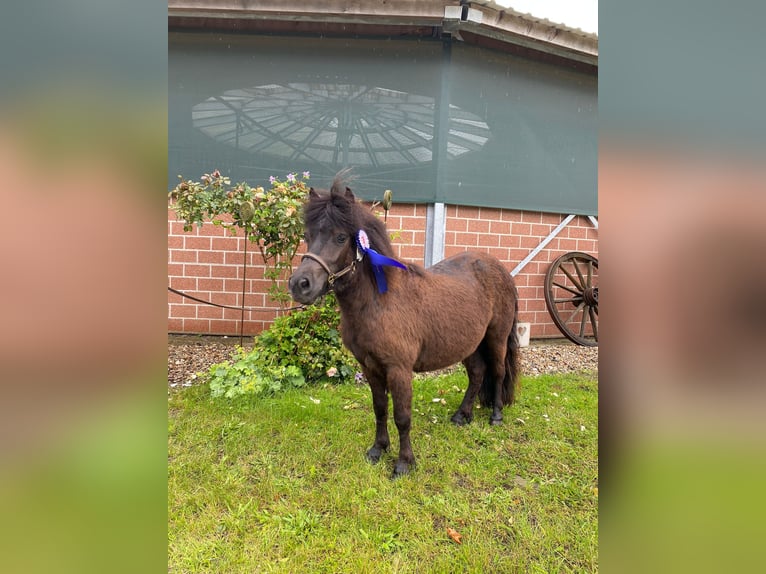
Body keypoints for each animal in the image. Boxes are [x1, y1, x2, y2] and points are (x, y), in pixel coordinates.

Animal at [290, 173, 520, 480]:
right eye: (308, 236)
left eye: (340, 236)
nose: (300, 285)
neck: (379, 301)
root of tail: (500, 269)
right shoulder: (370, 366)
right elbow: (379, 409)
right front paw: (378, 450)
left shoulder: (399, 370)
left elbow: (402, 416)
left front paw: (404, 463)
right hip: (469, 344)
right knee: (477, 374)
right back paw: (462, 415)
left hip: (496, 337)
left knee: (497, 371)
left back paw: (496, 416)